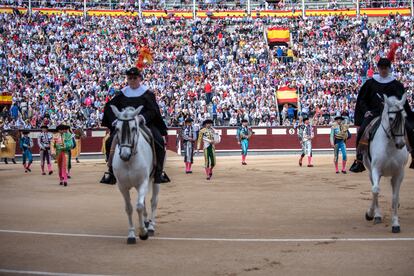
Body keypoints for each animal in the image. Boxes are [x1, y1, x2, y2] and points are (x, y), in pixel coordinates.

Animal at [110, 105, 160, 244]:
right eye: (117, 128)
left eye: (133, 128)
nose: (124, 155)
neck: (129, 161)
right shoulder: (122, 186)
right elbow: (129, 208)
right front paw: (131, 234)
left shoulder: (142, 183)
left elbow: (139, 206)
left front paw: (143, 232)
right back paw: (146, 221)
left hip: (155, 180)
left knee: (153, 201)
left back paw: (151, 227)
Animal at [364, 94, 410, 233]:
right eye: (391, 118)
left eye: (405, 116)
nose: (400, 144)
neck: (390, 145)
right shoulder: (375, 170)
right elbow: (375, 190)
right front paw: (370, 213)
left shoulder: (399, 173)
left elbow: (395, 197)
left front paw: (395, 224)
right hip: (370, 172)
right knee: (375, 189)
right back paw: (377, 215)